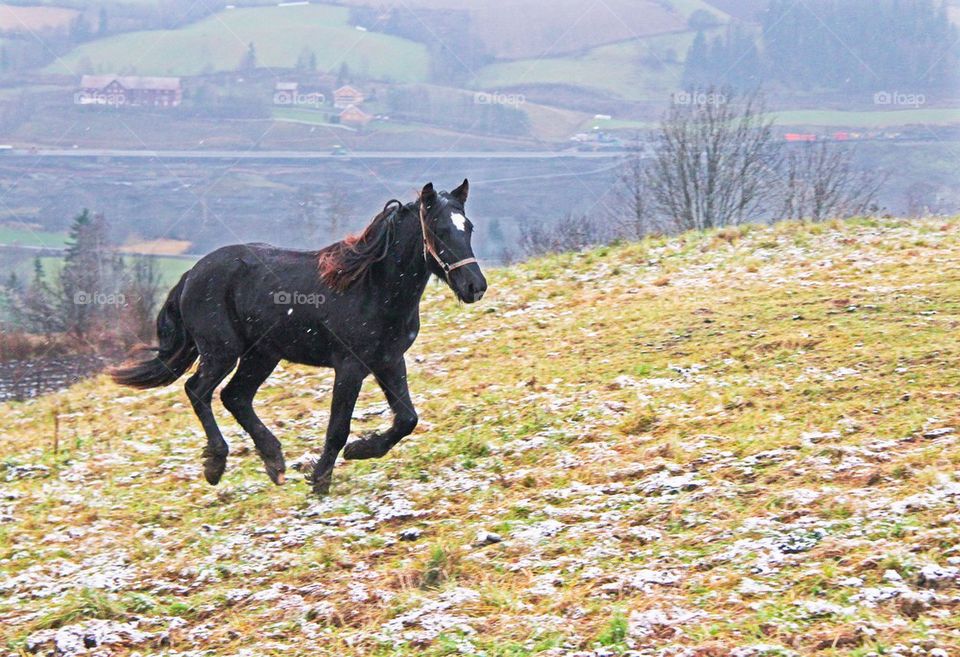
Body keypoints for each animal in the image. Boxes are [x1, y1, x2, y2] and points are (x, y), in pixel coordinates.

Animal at [111, 180, 486, 495]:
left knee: (235, 396)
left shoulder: (389, 361)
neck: (372, 287)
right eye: (439, 230)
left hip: (262, 355)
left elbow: (407, 418)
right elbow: (338, 428)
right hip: (222, 351)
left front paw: (360, 451)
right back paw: (216, 463)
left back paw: (274, 462)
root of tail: (191, 274)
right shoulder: (349, 366)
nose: (475, 286)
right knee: (198, 390)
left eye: (468, 227)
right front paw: (320, 479)